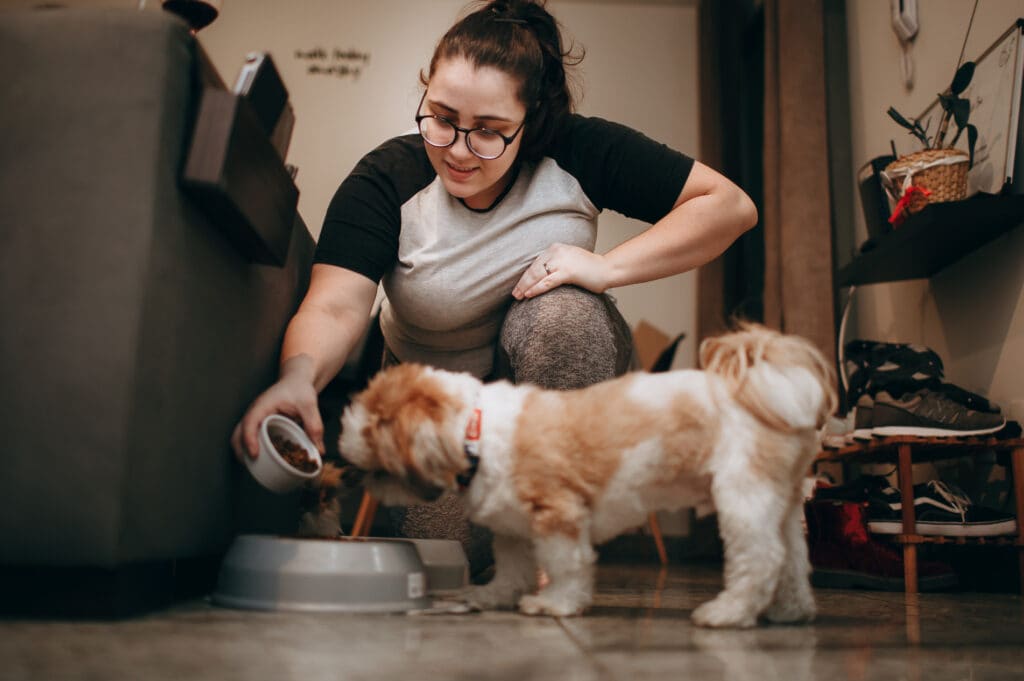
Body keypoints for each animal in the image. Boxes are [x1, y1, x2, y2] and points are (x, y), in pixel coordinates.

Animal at [333, 323, 831, 626]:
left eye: (371, 427)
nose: (345, 456)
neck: (475, 427)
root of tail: (774, 389)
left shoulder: (559, 514)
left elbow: (565, 565)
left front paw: (554, 604)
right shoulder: (513, 527)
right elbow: (513, 569)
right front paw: (495, 597)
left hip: (743, 498)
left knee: (761, 559)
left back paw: (727, 612)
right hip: (781, 505)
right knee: (792, 560)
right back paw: (791, 611)